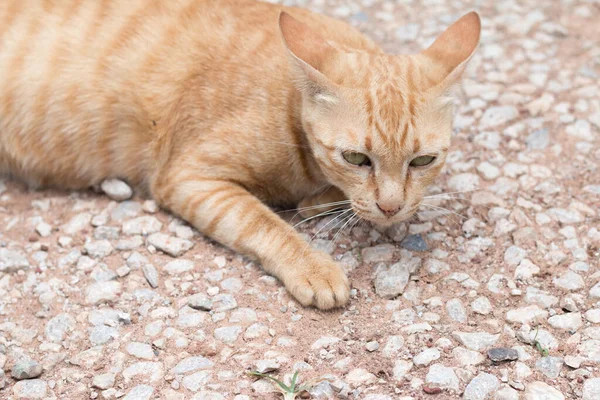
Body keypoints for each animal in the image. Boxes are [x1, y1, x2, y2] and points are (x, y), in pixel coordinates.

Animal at [0, 0, 478, 310]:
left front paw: (324, 202)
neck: (290, 104)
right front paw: (314, 265)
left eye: (422, 162)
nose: (392, 207)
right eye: (357, 158)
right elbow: (264, 223)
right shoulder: (188, 177)